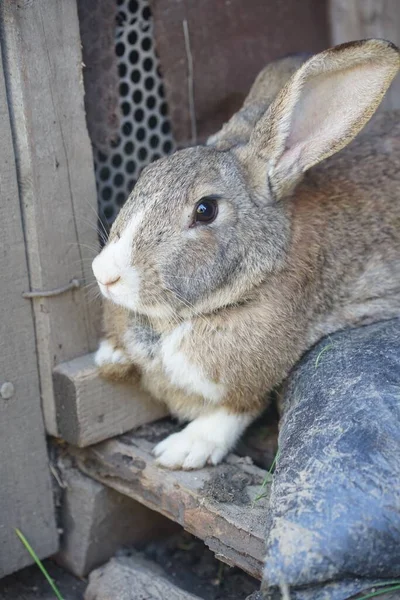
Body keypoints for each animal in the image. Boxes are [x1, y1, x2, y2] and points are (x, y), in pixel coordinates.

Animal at [91, 39, 400, 472]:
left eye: (205, 210)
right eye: (148, 173)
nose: (105, 274)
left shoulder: (249, 377)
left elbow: (235, 410)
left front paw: (182, 451)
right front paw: (108, 358)